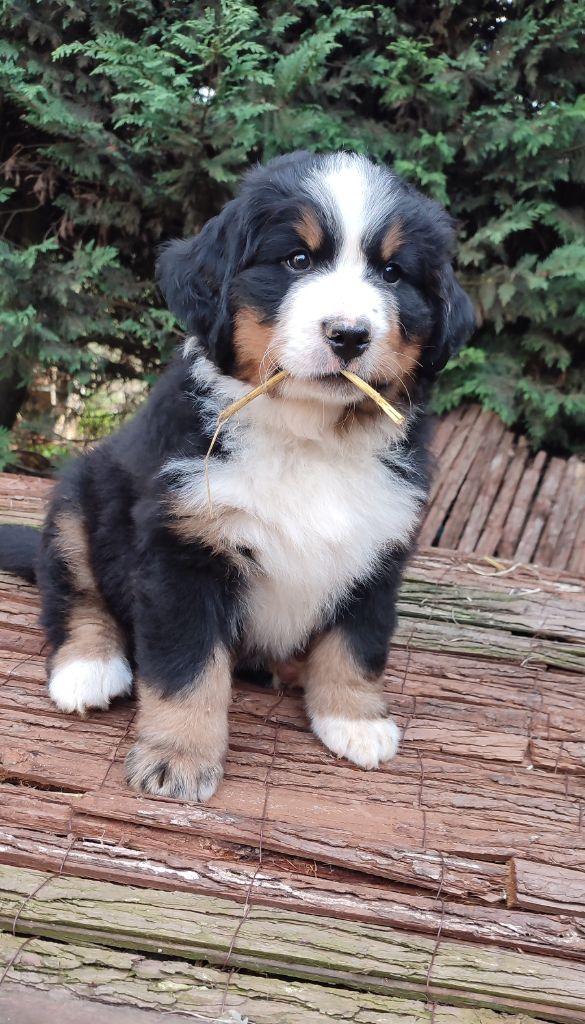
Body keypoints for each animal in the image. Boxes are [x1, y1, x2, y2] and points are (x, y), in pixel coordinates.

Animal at [0, 153, 475, 806]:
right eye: (297, 260)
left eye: (393, 273)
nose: (350, 334)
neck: (309, 437)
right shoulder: (182, 549)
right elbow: (188, 667)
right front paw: (177, 756)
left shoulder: (379, 548)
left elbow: (358, 644)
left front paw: (355, 720)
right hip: (82, 494)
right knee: (74, 590)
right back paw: (88, 667)